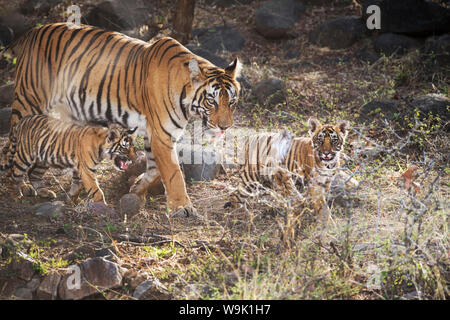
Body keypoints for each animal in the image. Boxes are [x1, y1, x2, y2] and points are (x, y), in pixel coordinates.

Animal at [2, 23, 243, 216]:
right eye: (211, 102)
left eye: (232, 102)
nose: (225, 126)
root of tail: (33, 31)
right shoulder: (161, 136)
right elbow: (174, 173)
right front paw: (182, 207)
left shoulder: (154, 135)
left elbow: (155, 170)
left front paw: (137, 190)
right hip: (28, 102)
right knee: (12, 146)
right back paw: (18, 188)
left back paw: (49, 189)